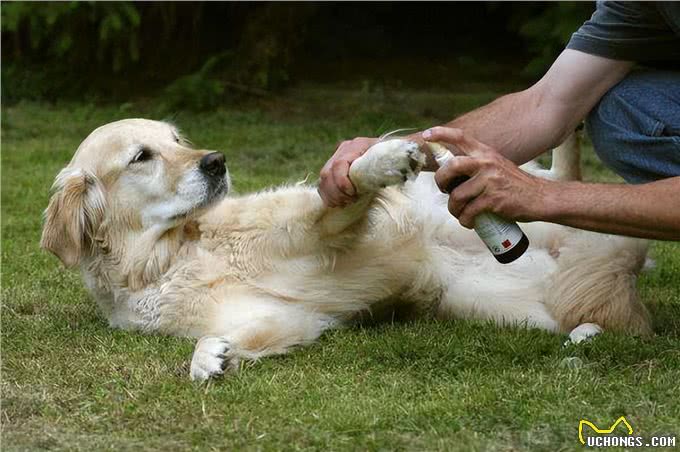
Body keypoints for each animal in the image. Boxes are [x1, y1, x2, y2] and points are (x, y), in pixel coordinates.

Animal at [39, 118, 652, 380]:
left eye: (176, 141)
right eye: (142, 156)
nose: (216, 162)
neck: (173, 253)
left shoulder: (319, 230)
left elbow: (344, 187)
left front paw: (381, 159)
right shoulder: (281, 316)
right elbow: (217, 344)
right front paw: (214, 359)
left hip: (480, 208)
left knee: (558, 179)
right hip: (505, 304)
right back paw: (588, 334)